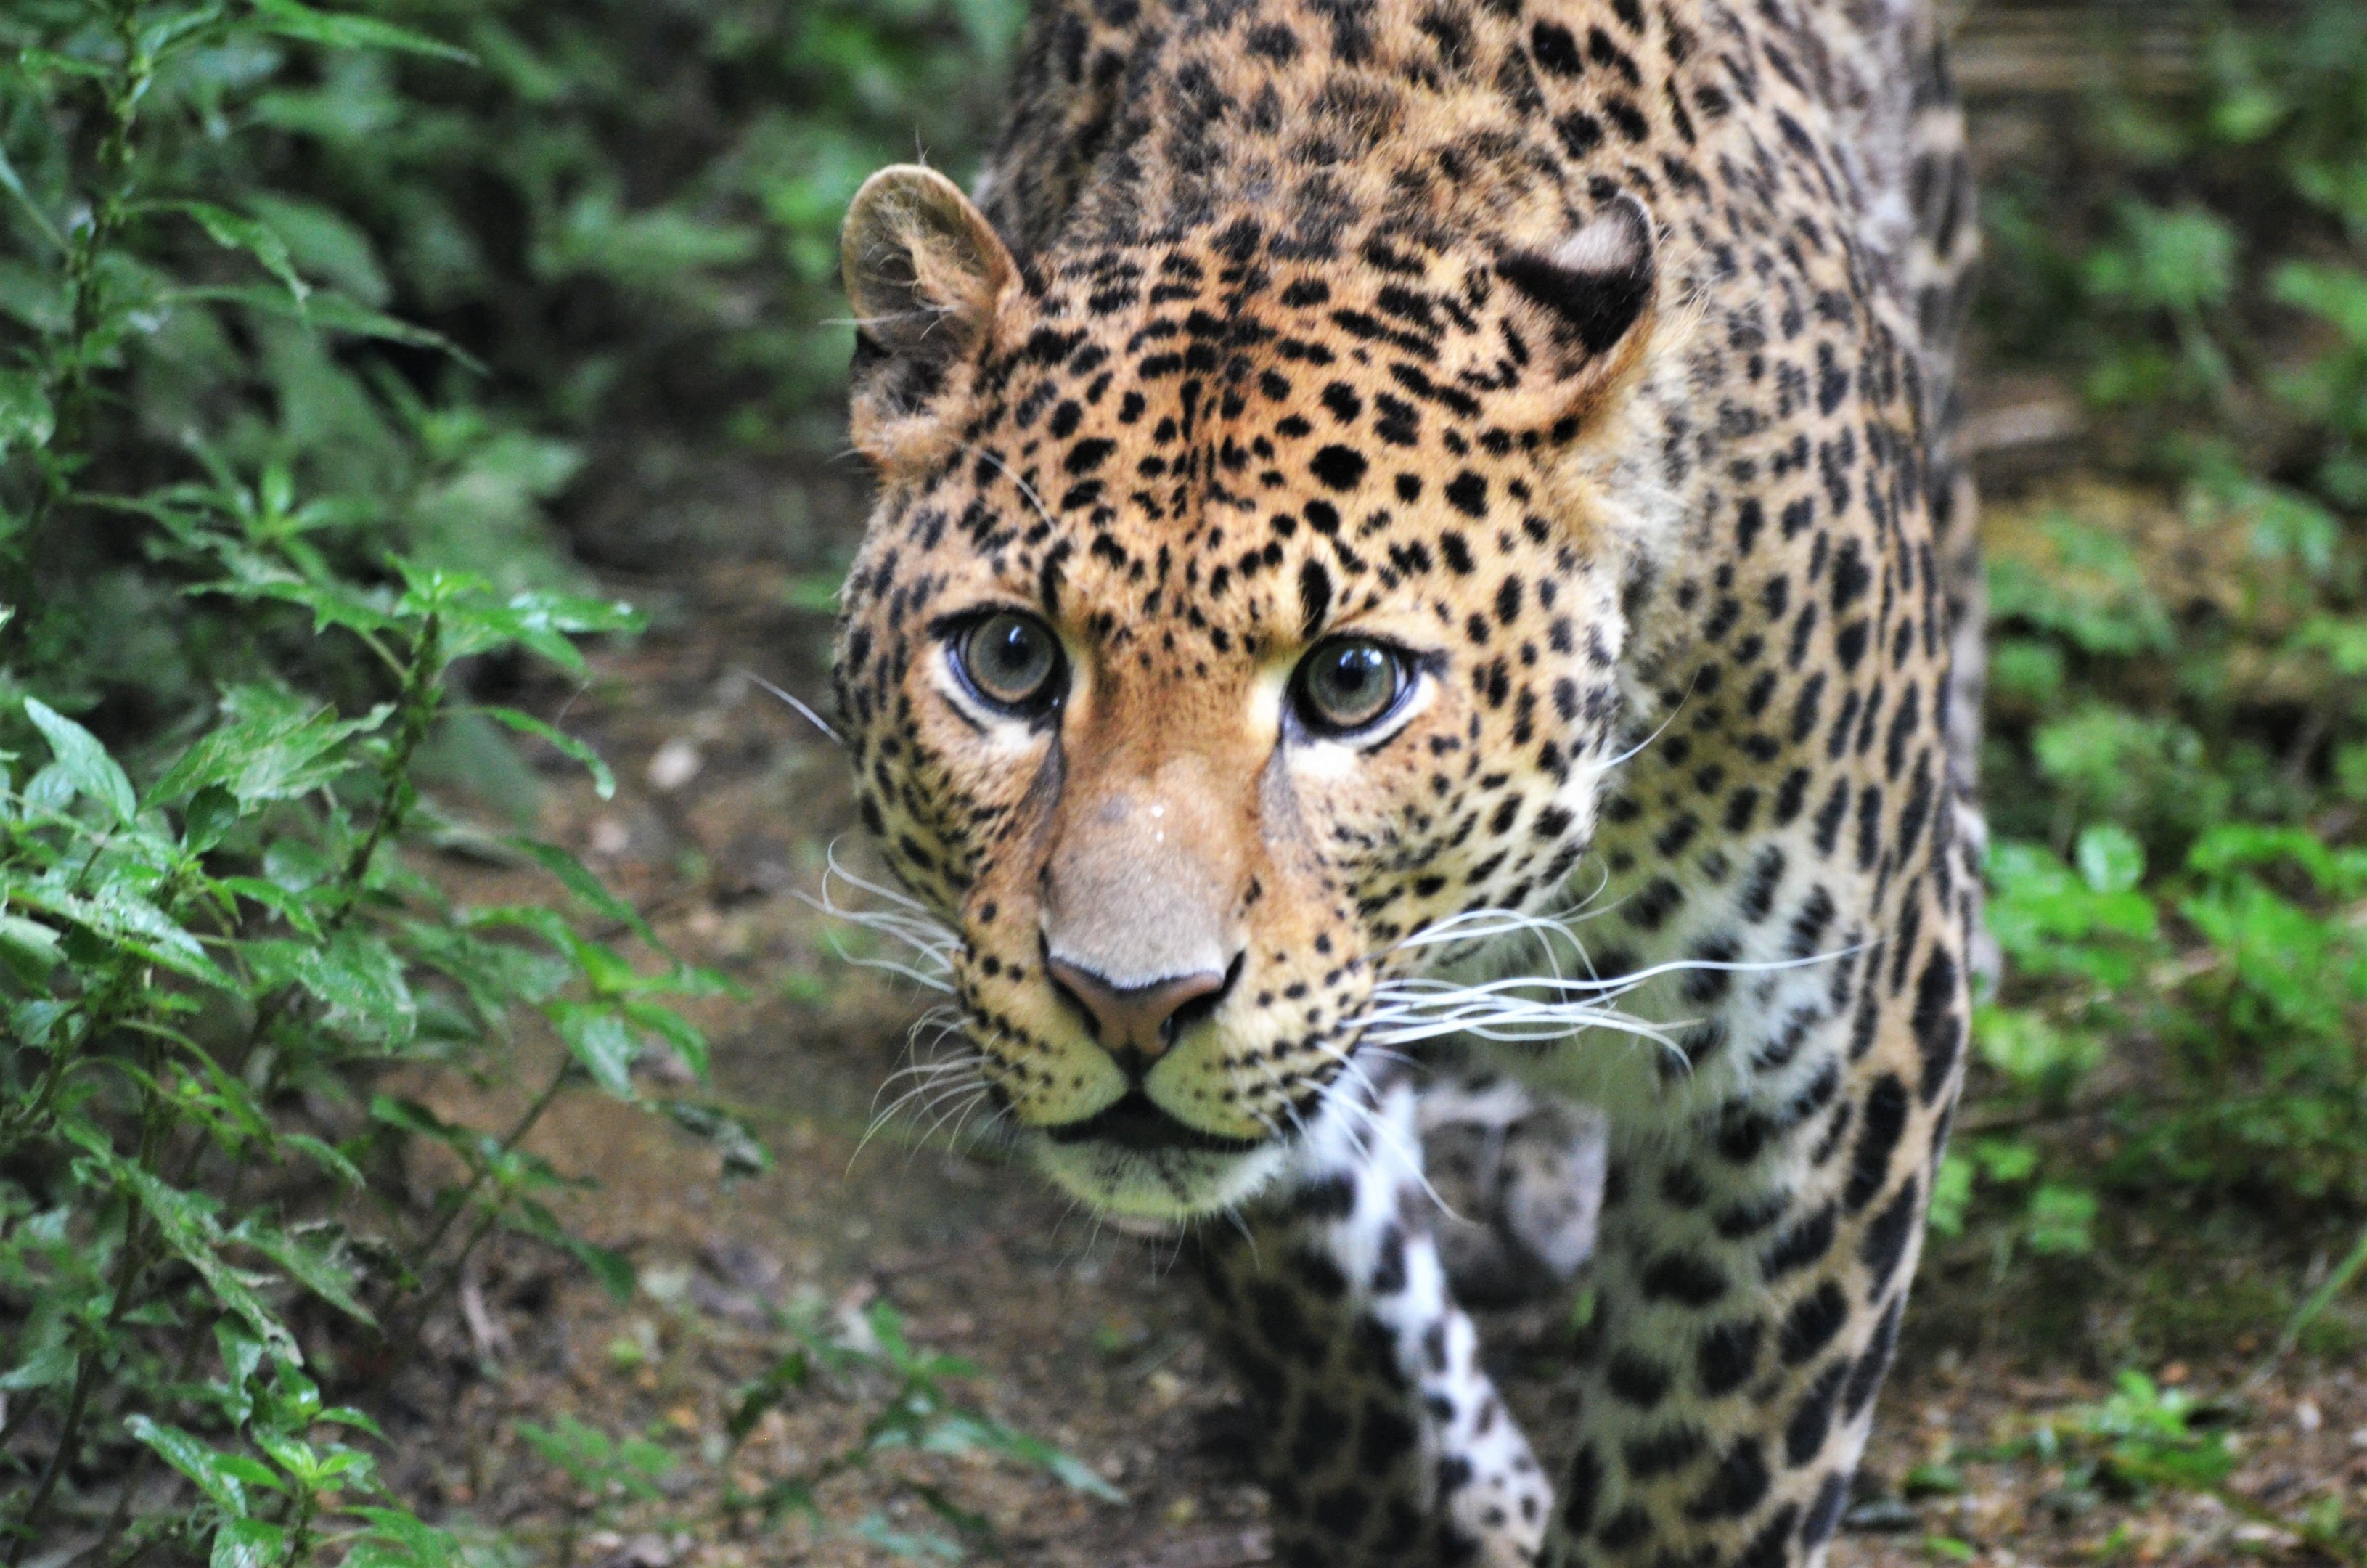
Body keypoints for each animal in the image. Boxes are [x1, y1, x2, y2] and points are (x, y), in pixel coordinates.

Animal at [827, 0, 1983, 1563]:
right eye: (1009, 660)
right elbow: (1333, 1340)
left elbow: (1707, 1468)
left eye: (1350, 683)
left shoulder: (1832, 1049)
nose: (1129, 1006)